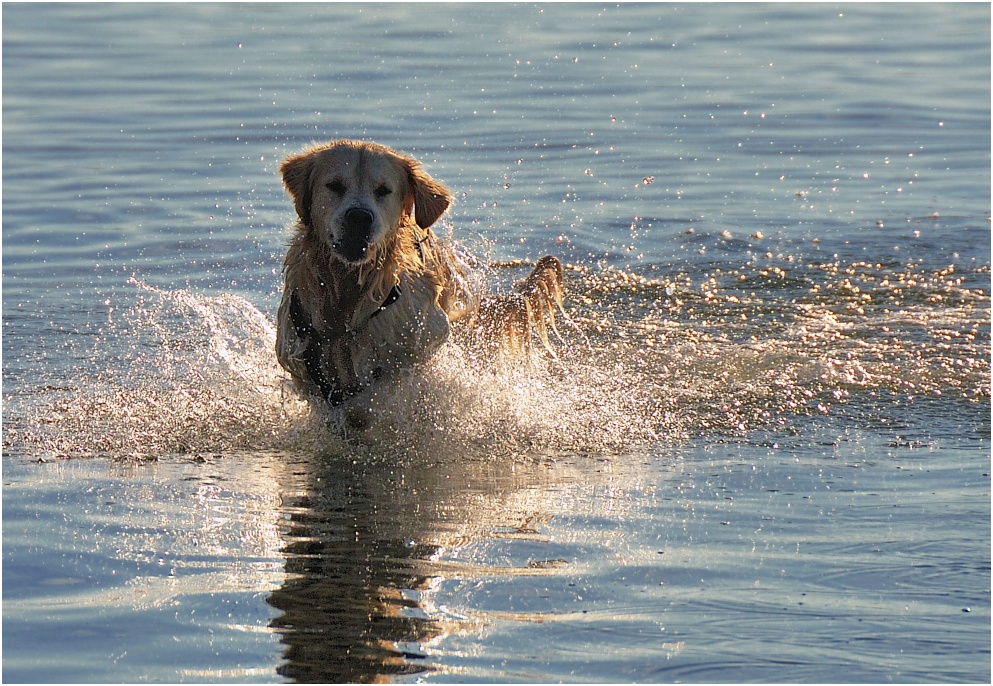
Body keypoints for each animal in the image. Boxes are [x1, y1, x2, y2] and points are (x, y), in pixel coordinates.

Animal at [276, 138, 564, 424]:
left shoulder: (422, 342)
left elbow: (376, 393)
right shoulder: (301, 364)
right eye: (335, 185)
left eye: (383, 190)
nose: (359, 217)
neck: (347, 289)